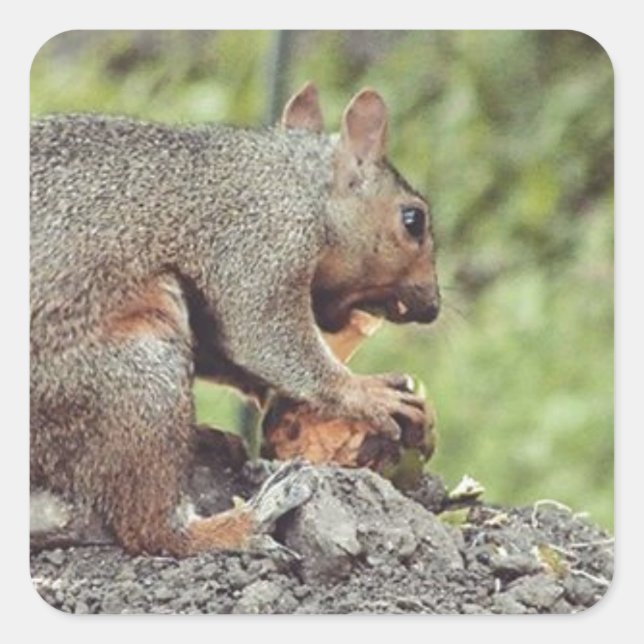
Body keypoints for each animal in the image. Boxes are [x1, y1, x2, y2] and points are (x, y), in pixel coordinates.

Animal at [30, 82, 440, 556]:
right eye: (413, 220)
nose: (433, 307)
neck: (302, 184)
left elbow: (225, 350)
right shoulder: (261, 242)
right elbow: (262, 332)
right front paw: (364, 392)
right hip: (135, 373)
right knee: (149, 529)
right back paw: (249, 518)